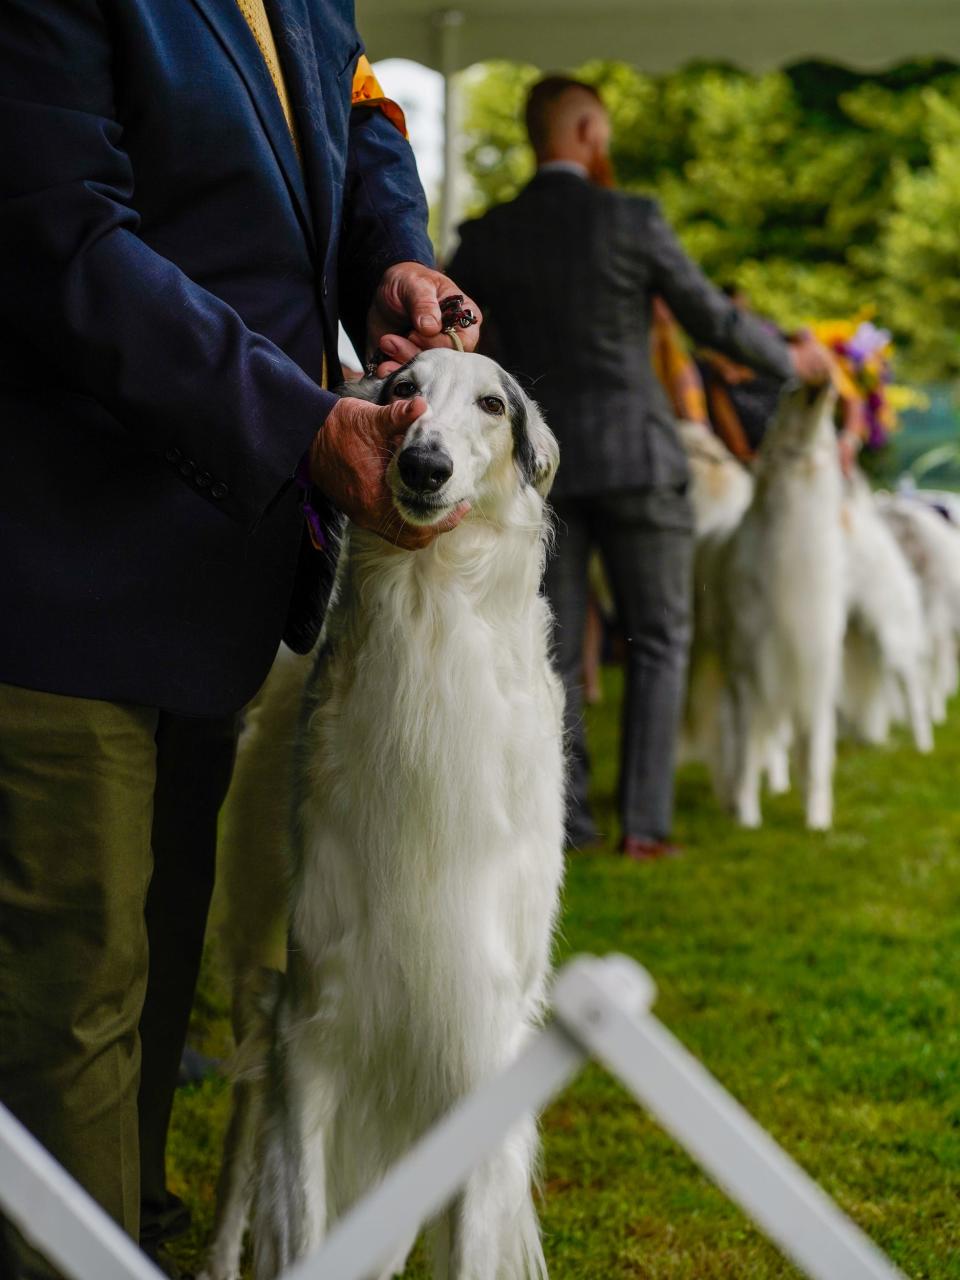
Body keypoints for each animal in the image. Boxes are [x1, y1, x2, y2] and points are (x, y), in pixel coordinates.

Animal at [203, 348, 563, 1280]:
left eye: (491, 404)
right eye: (402, 390)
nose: (422, 466)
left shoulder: (476, 1045)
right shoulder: (313, 1031)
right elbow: (304, 1222)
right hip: (260, 957)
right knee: (247, 1117)